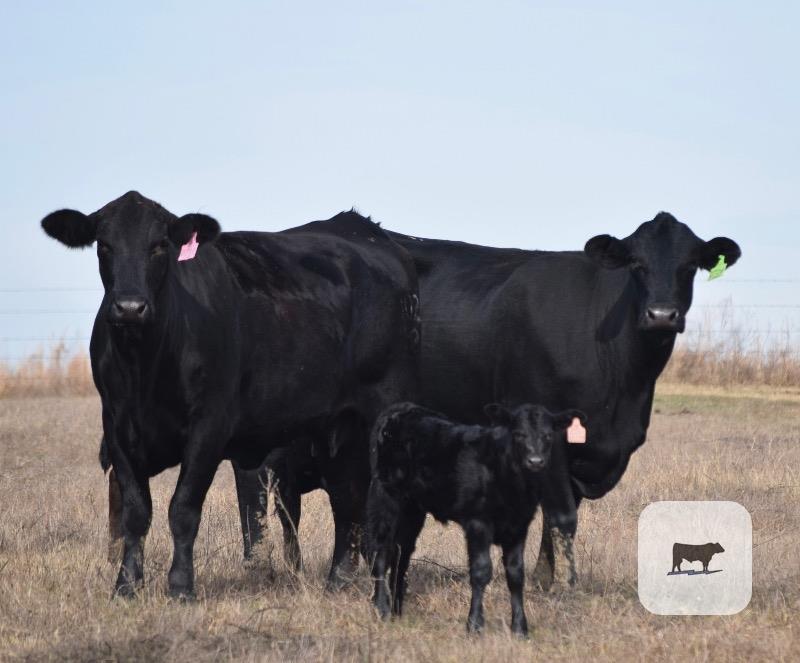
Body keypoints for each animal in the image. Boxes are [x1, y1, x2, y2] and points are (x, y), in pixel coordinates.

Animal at [41, 191, 419, 599]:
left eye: (160, 245)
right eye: (104, 245)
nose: (129, 307)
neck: (146, 368)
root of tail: (363, 230)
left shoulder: (209, 426)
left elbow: (183, 509)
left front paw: (180, 587)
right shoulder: (116, 427)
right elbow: (136, 513)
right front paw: (126, 587)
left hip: (382, 408)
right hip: (335, 427)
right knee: (346, 501)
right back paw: (337, 582)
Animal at [367, 402, 585, 636]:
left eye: (548, 436)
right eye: (518, 434)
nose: (535, 461)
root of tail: (401, 409)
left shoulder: (518, 526)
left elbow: (516, 574)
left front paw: (519, 628)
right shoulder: (478, 523)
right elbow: (481, 571)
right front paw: (474, 625)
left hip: (413, 510)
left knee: (402, 554)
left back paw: (397, 611)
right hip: (387, 500)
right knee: (382, 553)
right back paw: (382, 609)